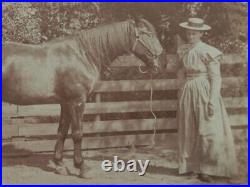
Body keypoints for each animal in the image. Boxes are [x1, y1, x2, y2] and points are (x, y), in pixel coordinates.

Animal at [2, 18, 166, 178]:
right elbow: (77, 134)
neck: (82, 55)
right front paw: (82, 167)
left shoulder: (65, 103)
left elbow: (62, 131)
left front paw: (60, 165)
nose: (163, 63)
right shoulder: (77, 102)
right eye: (147, 34)